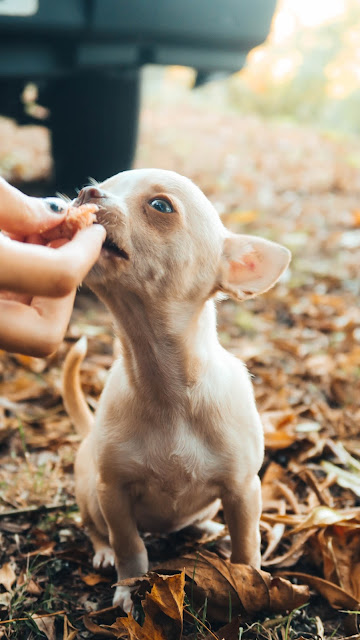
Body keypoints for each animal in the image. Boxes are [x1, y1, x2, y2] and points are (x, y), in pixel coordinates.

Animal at [63, 169, 292, 608]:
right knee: (95, 527)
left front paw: (250, 582)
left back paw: (207, 530)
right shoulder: (112, 491)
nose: (86, 192)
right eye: (104, 183)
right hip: (89, 490)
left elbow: (247, 544)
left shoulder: (243, 489)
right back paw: (102, 552)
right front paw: (128, 588)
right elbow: (130, 545)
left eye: (160, 206)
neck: (165, 386)